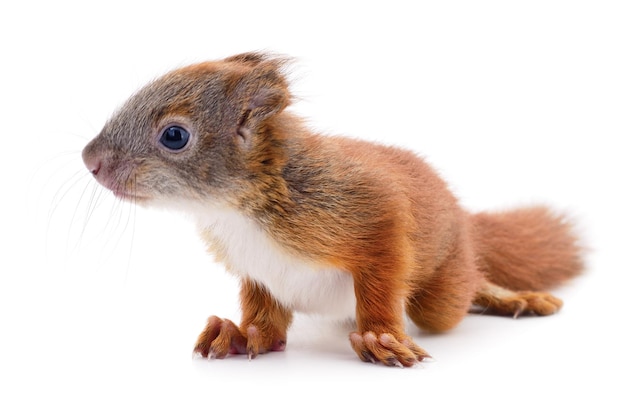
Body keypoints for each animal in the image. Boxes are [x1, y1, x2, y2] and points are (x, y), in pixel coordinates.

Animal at [81, 52, 580, 368]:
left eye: (174, 136)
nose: (90, 160)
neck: (235, 210)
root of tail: (464, 219)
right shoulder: (257, 273)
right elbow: (267, 323)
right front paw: (239, 334)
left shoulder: (366, 211)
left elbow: (382, 274)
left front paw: (380, 338)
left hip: (443, 288)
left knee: (464, 290)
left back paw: (515, 297)